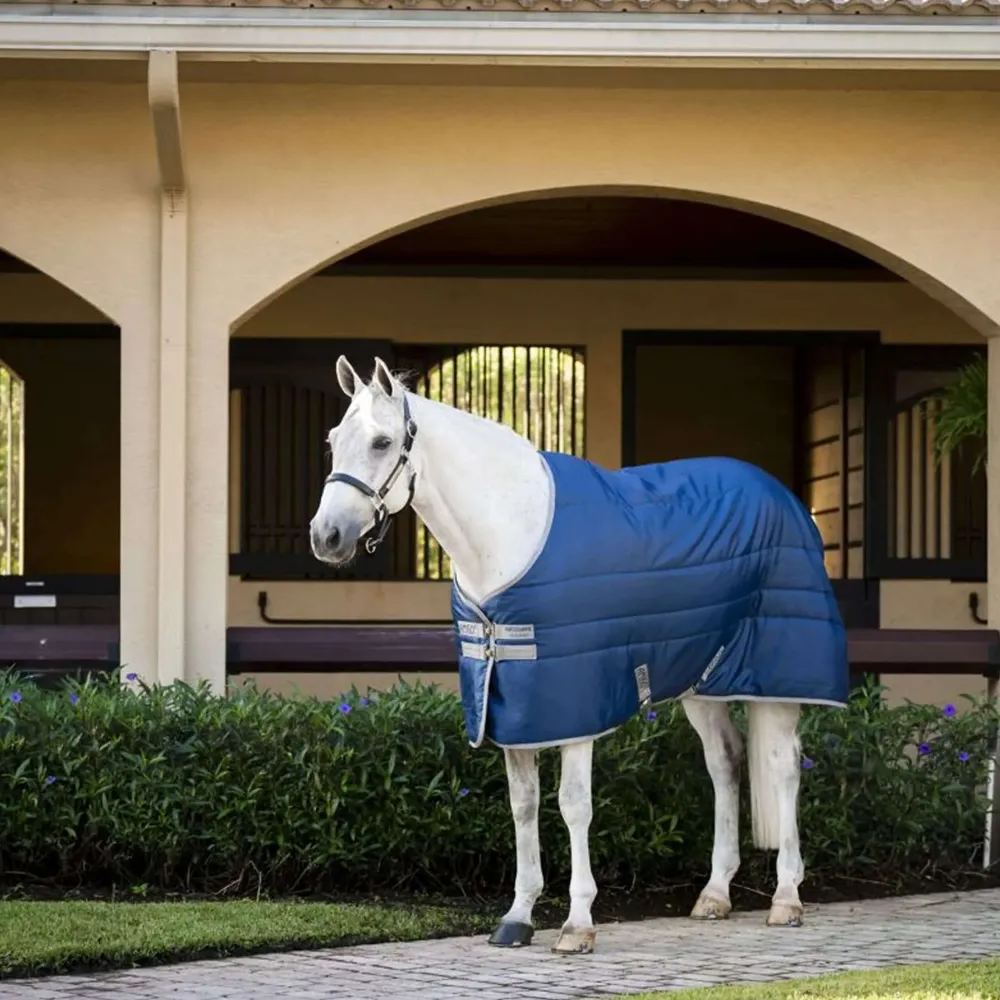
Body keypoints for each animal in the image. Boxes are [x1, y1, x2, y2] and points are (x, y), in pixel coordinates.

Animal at [309, 355, 849, 955]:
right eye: (334, 441)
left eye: (382, 442)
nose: (326, 536)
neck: (510, 531)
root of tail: (784, 497)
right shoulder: (511, 702)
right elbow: (523, 804)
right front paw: (517, 917)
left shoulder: (576, 705)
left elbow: (573, 804)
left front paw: (577, 924)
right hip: (703, 679)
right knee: (725, 762)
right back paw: (714, 894)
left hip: (776, 678)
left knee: (783, 767)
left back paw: (786, 898)